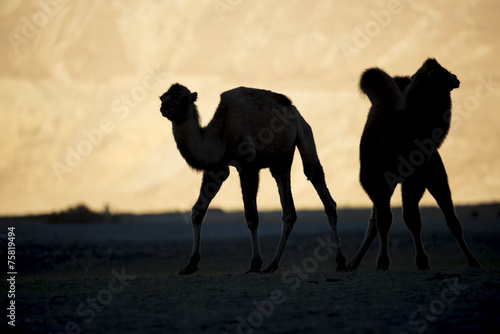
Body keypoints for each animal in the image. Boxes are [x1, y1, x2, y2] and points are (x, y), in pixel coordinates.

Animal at [160, 83, 348, 274]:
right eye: (162, 97)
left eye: (184, 98)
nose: (164, 107)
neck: (221, 134)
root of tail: (294, 111)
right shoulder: (217, 168)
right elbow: (198, 210)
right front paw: (190, 264)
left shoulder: (248, 167)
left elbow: (251, 216)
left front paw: (255, 263)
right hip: (281, 161)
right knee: (289, 211)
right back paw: (272, 265)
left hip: (305, 133)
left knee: (318, 182)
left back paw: (341, 261)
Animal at [348, 58, 480, 272]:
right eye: (441, 72)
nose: (456, 78)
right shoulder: (376, 180)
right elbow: (385, 220)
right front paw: (383, 262)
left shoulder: (417, 178)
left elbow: (412, 218)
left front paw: (422, 261)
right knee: (377, 221)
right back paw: (352, 262)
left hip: (433, 175)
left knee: (451, 220)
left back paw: (473, 260)